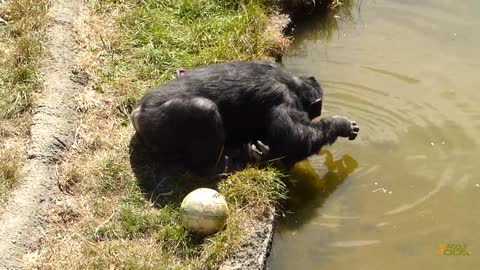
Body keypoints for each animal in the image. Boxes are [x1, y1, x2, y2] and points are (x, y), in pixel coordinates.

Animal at [129, 60, 358, 176]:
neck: (291, 82)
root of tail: (136, 112)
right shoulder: (284, 101)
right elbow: (296, 139)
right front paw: (342, 124)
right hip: (157, 125)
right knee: (204, 109)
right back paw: (222, 165)